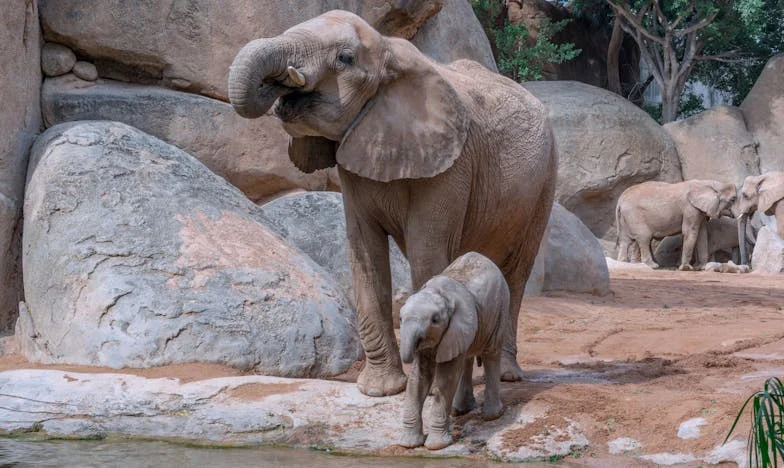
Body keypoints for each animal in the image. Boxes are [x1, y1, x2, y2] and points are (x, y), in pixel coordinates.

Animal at [227, 11, 556, 396]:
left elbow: (427, 253)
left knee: (515, 273)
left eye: (345, 58)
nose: (280, 88)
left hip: (545, 182)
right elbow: (365, 253)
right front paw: (381, 390)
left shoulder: (452, 166)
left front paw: (429, 387)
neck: (389, 51)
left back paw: (506, 375)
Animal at [398, 252, 508, 450]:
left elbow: (446, 379)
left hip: (500, 307)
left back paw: (492, 415)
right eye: (400, 319)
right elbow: (418, 378)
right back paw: (460, 411)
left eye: (435, 320)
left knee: (491, 354)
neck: (439, 293)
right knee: (466, 358)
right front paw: (409, 444)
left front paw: (436, 446)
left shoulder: (455, 327)